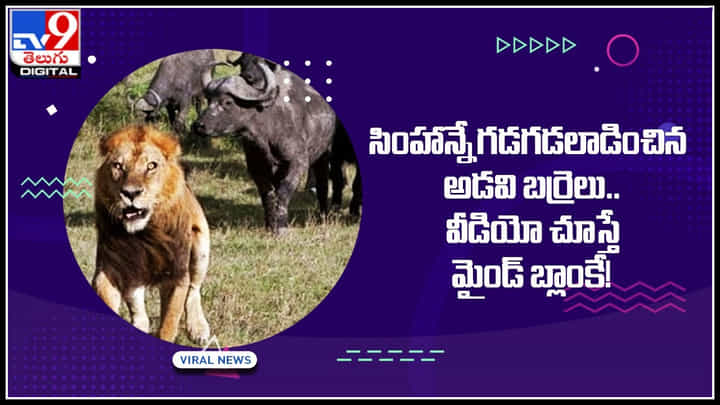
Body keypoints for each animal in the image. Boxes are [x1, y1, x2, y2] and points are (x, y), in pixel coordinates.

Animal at [92, 125, 211, 344]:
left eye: (151, 166)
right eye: (118, 166)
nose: (130, 193)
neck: (144, 235)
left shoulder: (176, 274)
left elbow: (169, 322)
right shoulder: (109, 268)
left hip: (201, 247)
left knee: (194, 289)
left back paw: (198, 329)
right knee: (137, 304)